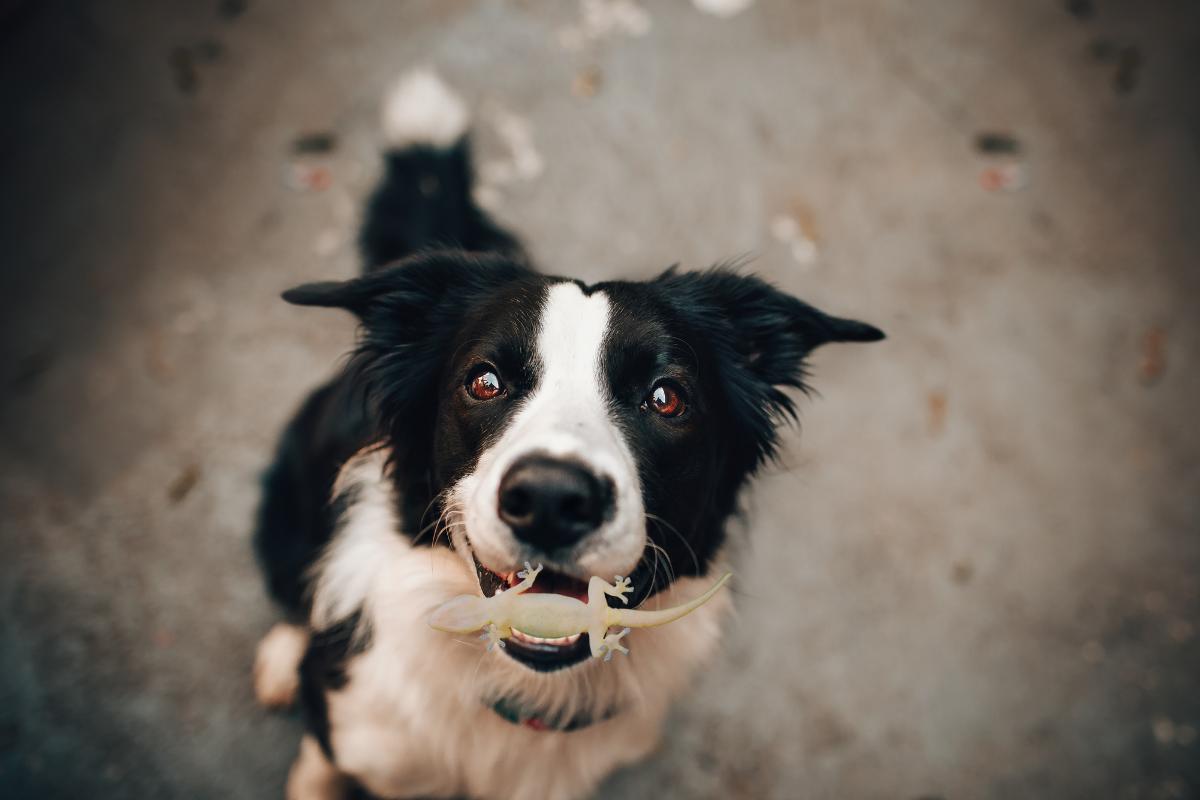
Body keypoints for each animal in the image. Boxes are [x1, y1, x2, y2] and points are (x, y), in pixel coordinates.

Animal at [253, 70, 888, 800]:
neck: (522, 692)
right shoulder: (355, 729)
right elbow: (319, 762)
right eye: (485, 381)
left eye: (666, 397)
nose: (552, 500)